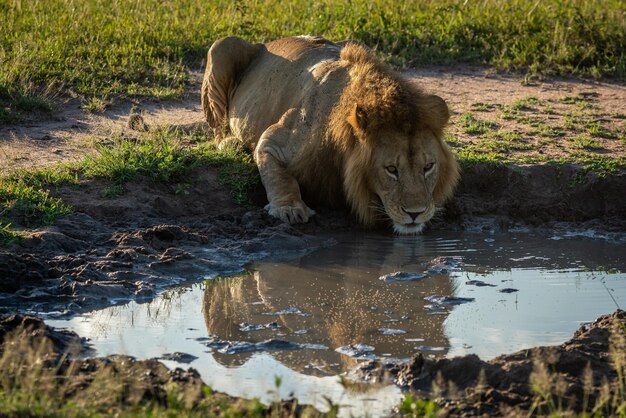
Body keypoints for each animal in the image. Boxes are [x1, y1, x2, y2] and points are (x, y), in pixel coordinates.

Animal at [201, 35, 458, 235]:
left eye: (428, 167)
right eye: (391, 170)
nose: (416, 213)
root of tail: (266, 42)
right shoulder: (274, 141)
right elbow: (278, 176)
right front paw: (289, 208)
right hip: (222, 46)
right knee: (218, 128)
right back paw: (231, 143)